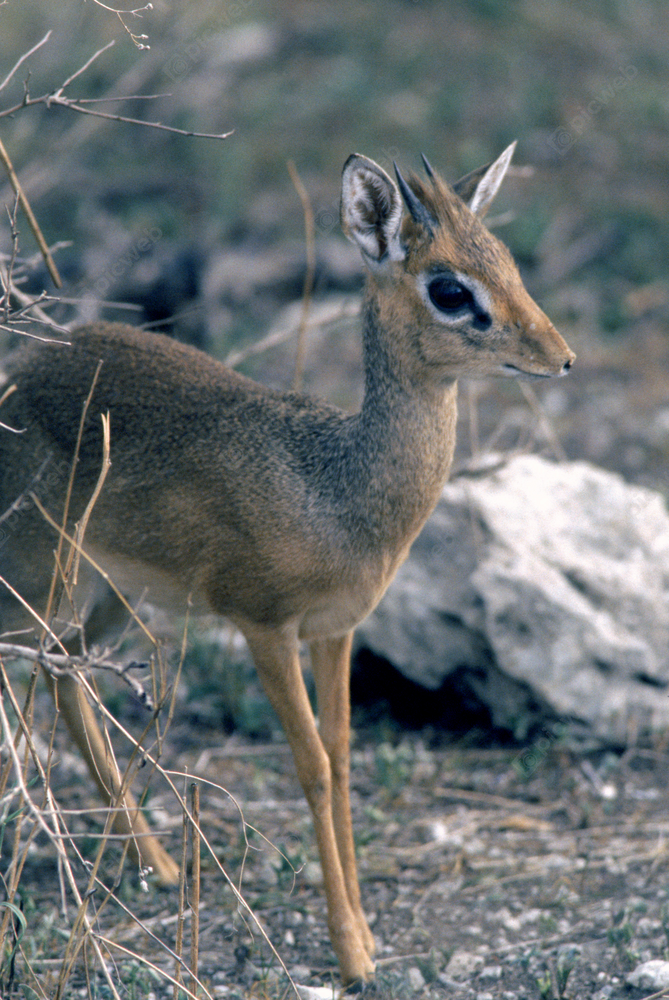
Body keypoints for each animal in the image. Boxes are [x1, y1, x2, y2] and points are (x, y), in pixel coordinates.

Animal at [0, 148, 576, 984]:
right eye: (448, 288)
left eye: (504, 260)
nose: (559, 357)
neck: (335, 491)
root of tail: (20, 370)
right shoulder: (264, 625)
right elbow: (309, 767)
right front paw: (351, 955)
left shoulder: (336, 631)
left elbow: (341, 759)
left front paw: (364, 935)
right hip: (38, 580)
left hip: (103, 595)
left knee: (64, 671)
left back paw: (158, 866)